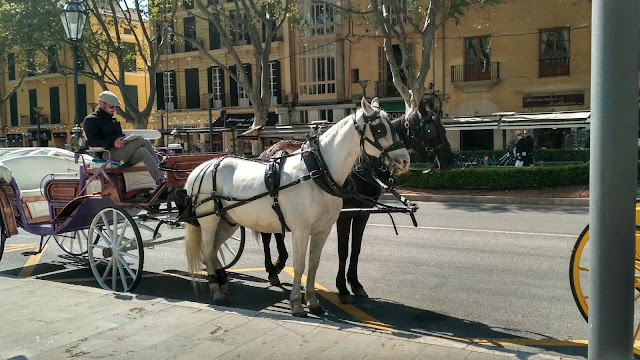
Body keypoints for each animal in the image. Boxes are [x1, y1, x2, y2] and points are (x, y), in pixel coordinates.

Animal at [182, 97, 410, 316]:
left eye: (394, 126)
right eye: (380, 129)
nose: (405, 160)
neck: (317, 172)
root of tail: (202, 168)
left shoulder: (323, 229)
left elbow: (313, 263)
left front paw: (313, 301)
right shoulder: (301, 230)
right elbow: (299, 265)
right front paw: (297, 304)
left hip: (228, 221)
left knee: (212, 251)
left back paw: (222, 282)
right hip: (209, 221)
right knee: (207, 250)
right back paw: (216, 291)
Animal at [258, 99, 452, 304]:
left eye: (443, 127)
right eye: (430, 130)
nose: (450, 161)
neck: (361, 167)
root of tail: (269, 150)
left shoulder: (362, 213)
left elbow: (356, 248)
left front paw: (355, 283)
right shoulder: (345, 215)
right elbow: (343, 250)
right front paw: (343, 288)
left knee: (277, 231)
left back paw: (279, 262)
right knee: (266, 236)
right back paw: (272, 269)